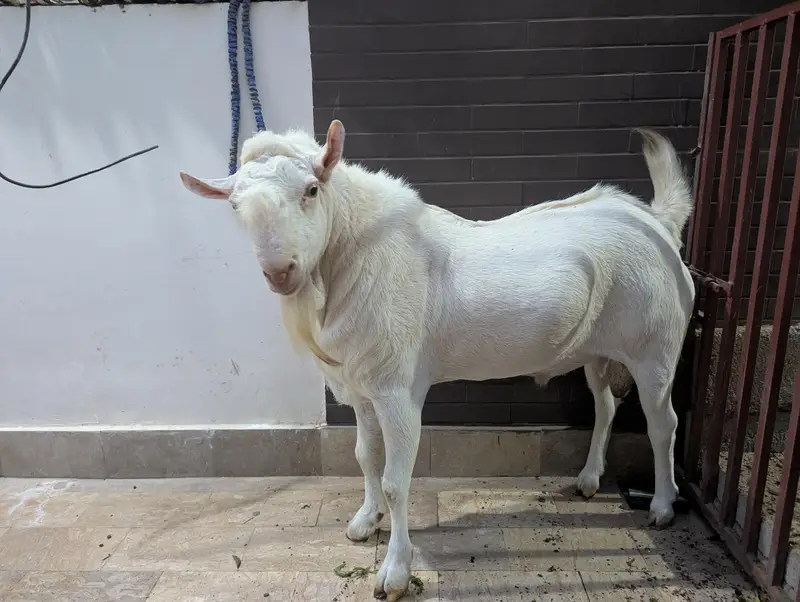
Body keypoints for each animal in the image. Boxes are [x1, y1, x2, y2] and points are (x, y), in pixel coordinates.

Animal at [180, 121, 695, 601]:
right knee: (605, 405)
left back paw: (663, 505)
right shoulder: (361, 387)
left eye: (311, 189)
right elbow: (364, 456)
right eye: (234, 207)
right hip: (596, 348)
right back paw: (589, 478)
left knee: (662, 423)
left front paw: (394, 572)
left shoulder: (397, 389)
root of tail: (657, 222)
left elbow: (395, 480)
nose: (280, 272)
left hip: (656, 348)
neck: (354, 257)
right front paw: (365, 520)